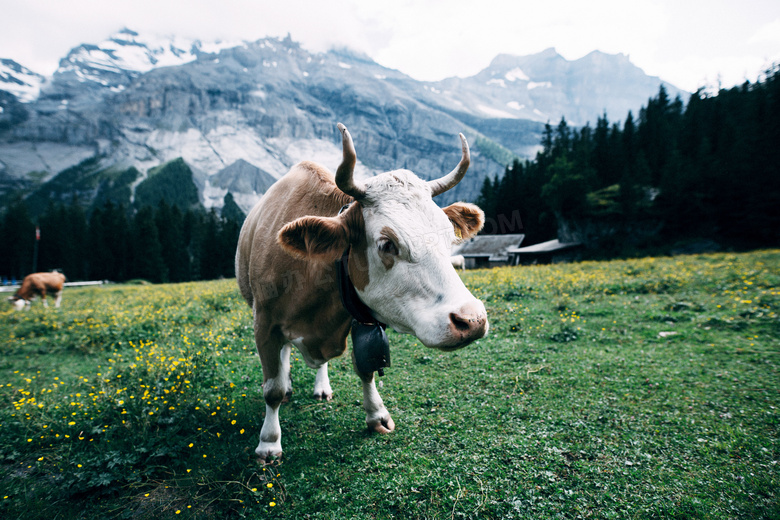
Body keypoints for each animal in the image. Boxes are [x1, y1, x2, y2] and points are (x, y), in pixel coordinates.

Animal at [235, 124, 488, 462]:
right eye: (387, 244)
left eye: (449, 236)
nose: (472, 320)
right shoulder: (264, 324)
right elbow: (272, 389)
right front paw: (269, 442)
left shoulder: (360, 319)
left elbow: (366, 368)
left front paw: (377, 415)